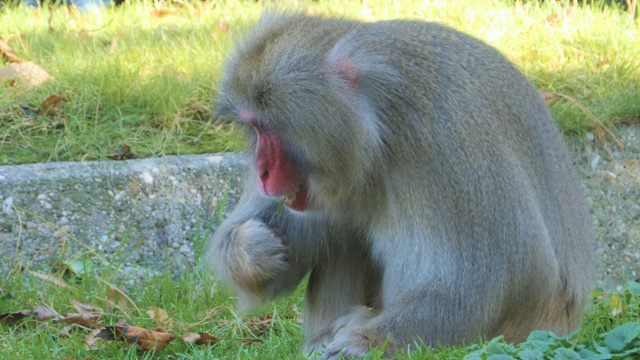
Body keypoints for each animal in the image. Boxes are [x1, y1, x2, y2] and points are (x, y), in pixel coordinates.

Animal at [204, 12, 592, 358]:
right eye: (254, 129)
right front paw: (251, 250)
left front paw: (365, 341)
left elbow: (503, 272)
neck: (381, 127)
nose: (261, 171)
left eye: (269, 128)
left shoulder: (446, 140)